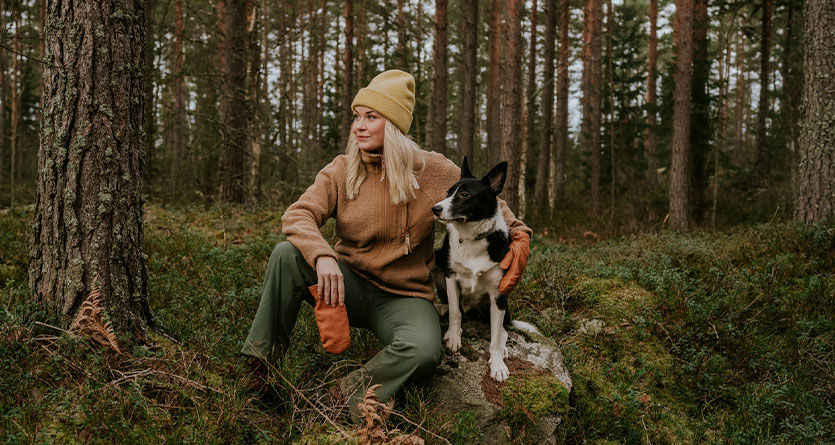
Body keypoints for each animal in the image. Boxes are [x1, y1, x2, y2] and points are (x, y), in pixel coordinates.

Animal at [434, 157, 532, 382]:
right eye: (448, 192)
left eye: (465, 194)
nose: (435, 209)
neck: (472, 239)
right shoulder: (451, 276)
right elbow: (455, 312)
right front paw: (454, 337)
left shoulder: (498, 292)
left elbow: (495, 337)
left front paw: (497, 364)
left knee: (503, 328)